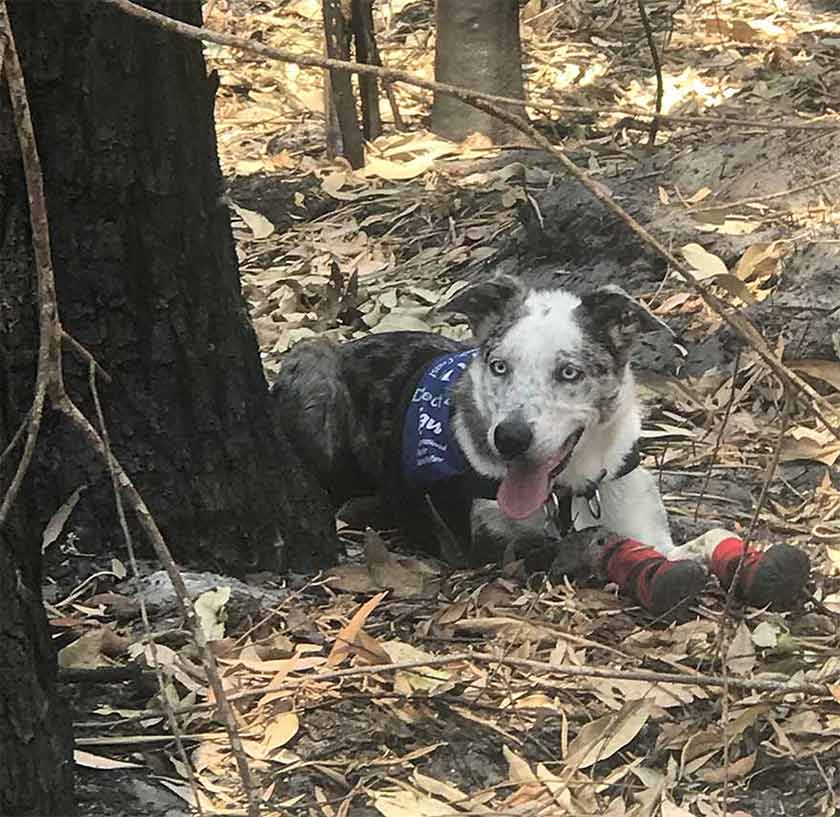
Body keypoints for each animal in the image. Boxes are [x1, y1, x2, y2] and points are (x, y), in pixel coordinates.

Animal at [272, 274, 812, 612]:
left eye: (569, 372)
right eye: (498, 366)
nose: (509, 439)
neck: (572, 488)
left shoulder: (644, 517)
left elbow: (707, 534)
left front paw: (754, 560)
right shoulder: (496, 549)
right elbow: (587, 543)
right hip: (314, 364)